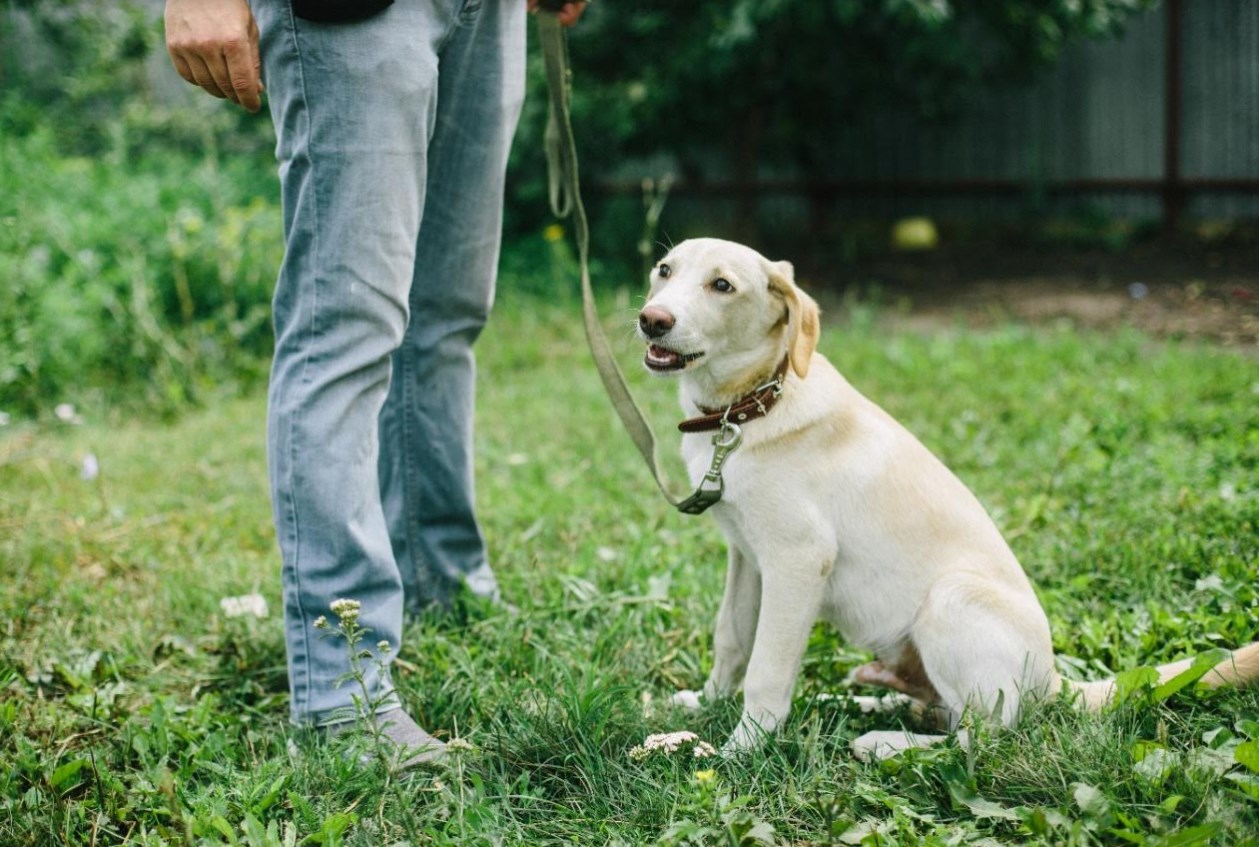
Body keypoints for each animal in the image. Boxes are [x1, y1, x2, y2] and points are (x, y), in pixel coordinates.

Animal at [639, 236, 1259, 755]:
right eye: (664, 271)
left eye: (722, 286)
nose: (651, 320)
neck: (749, 408)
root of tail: (1054, 683)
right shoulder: (746, 556)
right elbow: (732, 638)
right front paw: (708, 701)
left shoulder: (797, 559)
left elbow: (767, 668)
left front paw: (742, 748)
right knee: (942, 710)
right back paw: (865, 700)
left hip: (949, 600)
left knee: (983, 736)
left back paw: (885, 743)